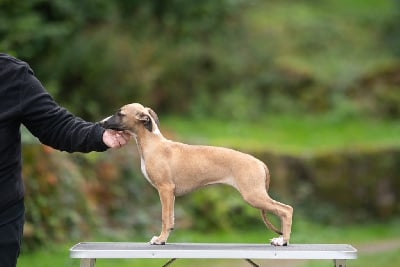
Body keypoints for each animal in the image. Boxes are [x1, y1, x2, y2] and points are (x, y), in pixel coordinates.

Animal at [100, 103, 294, 247]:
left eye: (120, 114)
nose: (101, 123)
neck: (154, 144)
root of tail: (259, 162)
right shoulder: (170, 194)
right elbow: (171, 218)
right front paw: (165, 238)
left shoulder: (165, 189)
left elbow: (164, 218)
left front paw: (160, 239)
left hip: (253, 195)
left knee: (286, 210)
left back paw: (282, 240)